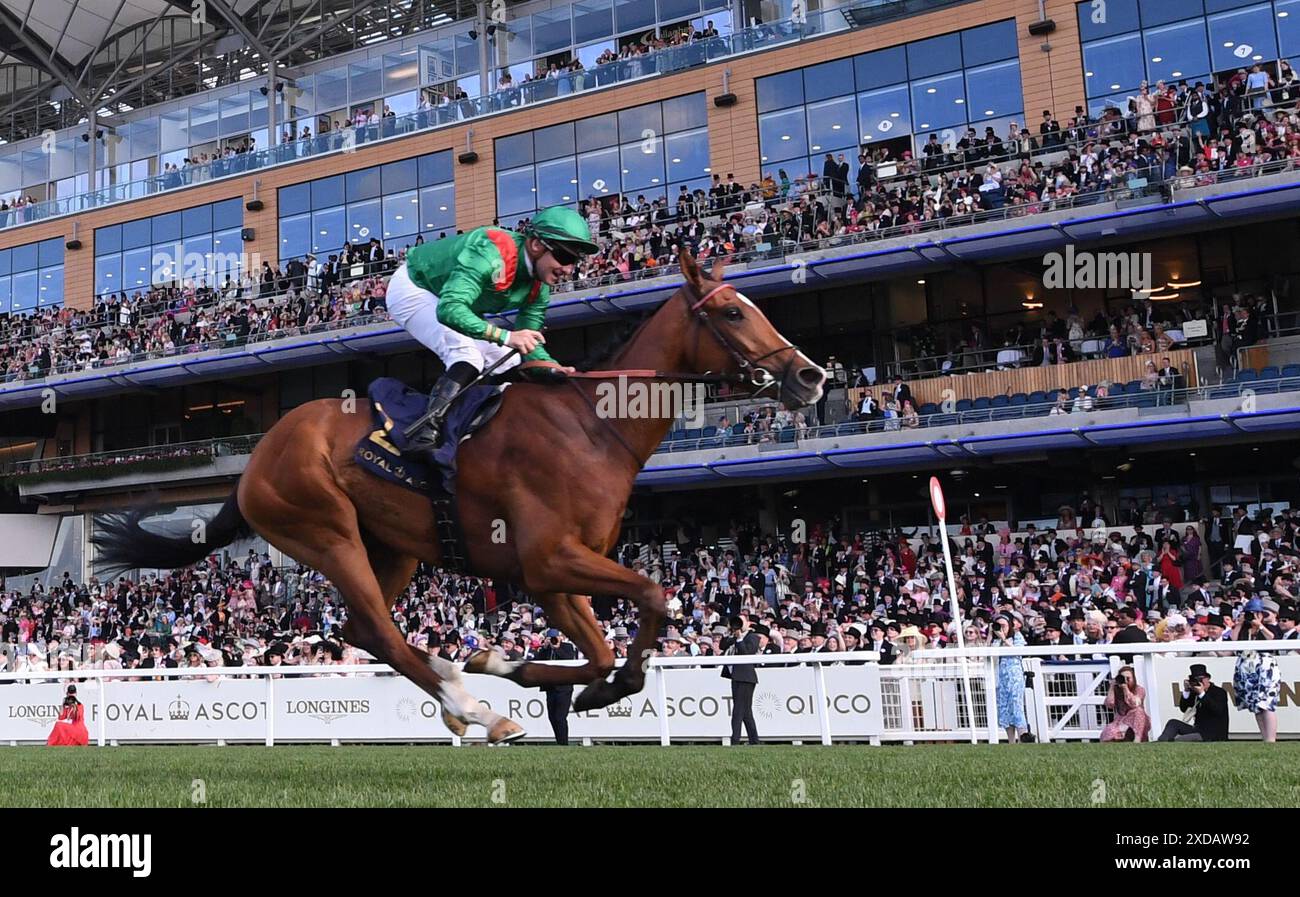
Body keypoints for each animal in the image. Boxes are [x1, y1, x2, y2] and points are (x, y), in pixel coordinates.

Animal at [94, 248, 821, 738]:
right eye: (731, 312)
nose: (812, 375)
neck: (593, 425)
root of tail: (253, 463)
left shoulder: (550, 576)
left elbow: (600, 649)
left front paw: (518, 664)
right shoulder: (549, 558)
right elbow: (650, 595)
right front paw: (520, 669)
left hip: (393, 548)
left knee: (362, 627)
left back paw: (457, 687)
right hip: (325, 530)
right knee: (381, 632)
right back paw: (472, 707)